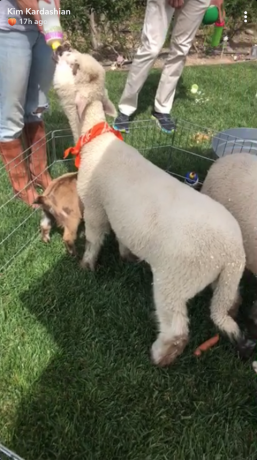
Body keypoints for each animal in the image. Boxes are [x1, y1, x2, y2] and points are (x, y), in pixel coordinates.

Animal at [52, 44, 246, 366]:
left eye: (74, 65)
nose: (63, 47)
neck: (95, 141)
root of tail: (232, 253)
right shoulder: (121, 215)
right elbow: (122, 237)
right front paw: (127, 256)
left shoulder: (94, 206)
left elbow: (94, 238)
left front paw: (87, 265)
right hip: (226, 279)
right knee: (227, 302)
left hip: (176, 281)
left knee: (177, 328)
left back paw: (160, 356)